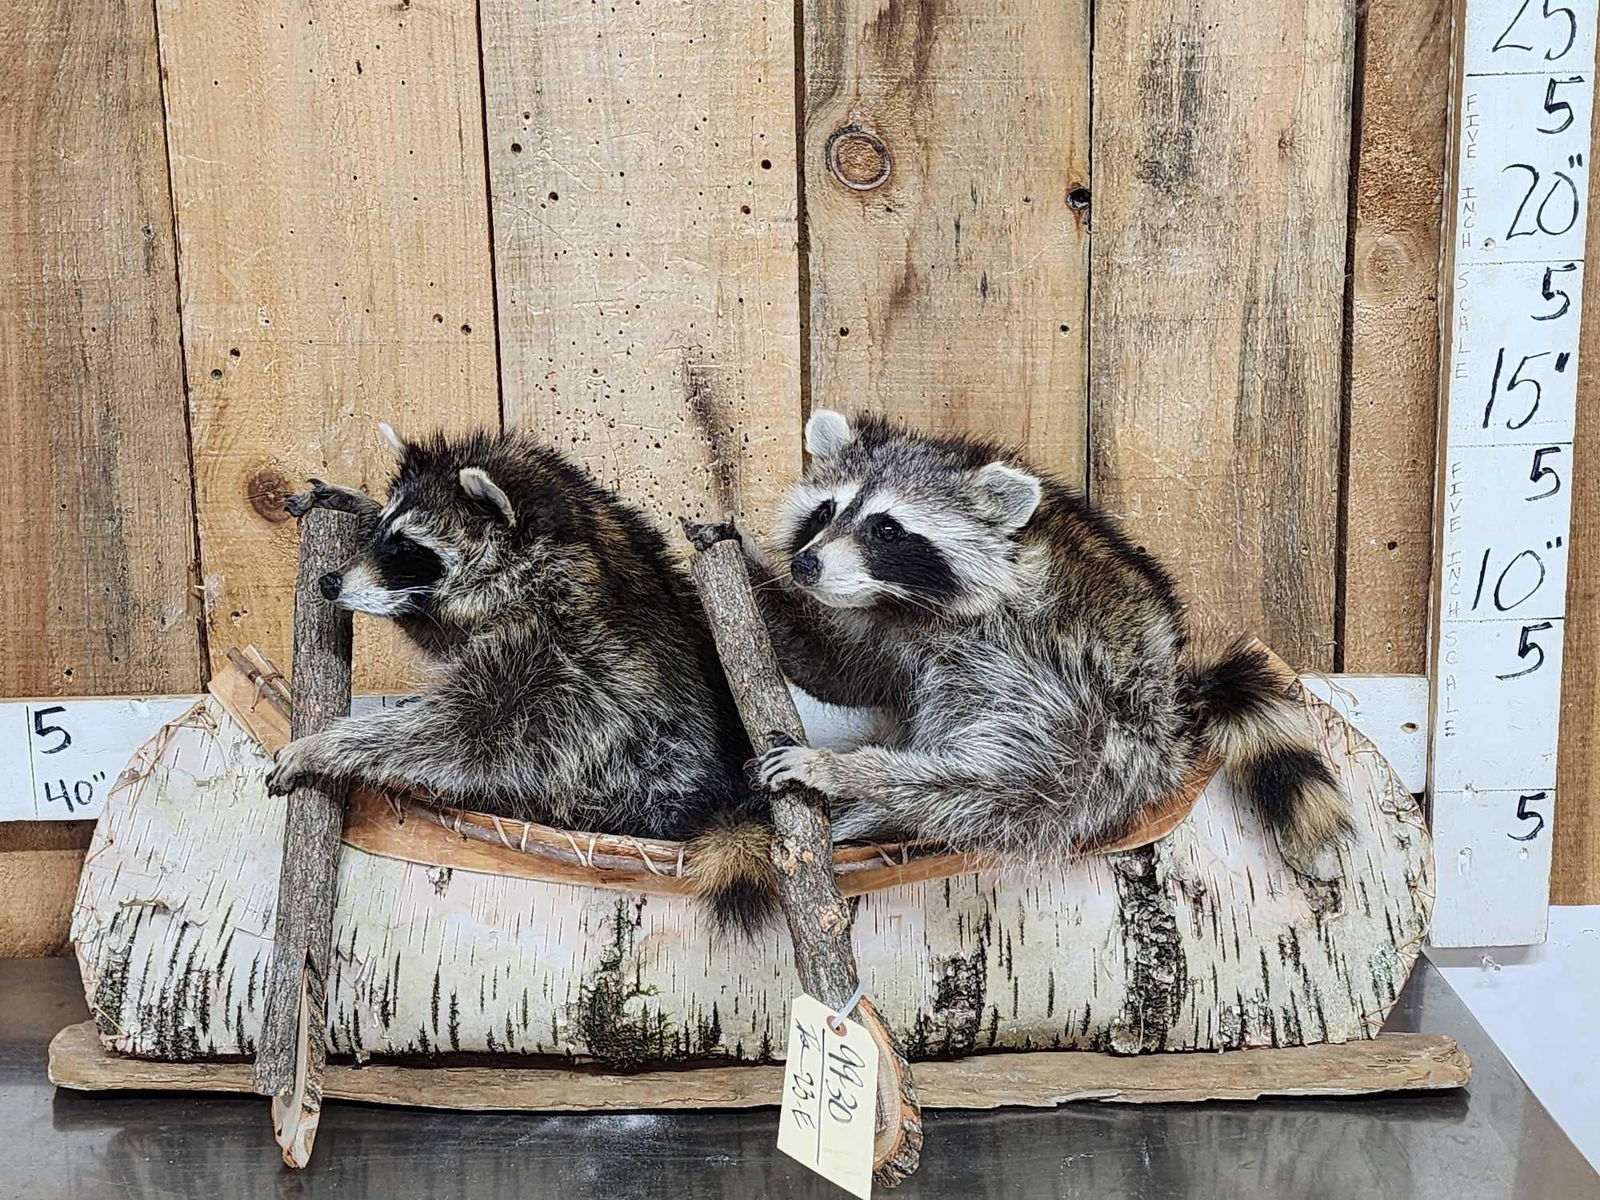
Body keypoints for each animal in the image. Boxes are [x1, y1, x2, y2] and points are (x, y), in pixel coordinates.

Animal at [267, 424, 776, 930]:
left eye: (408, 547)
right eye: (381, 535)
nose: (329, 583)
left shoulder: (558, 666)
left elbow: (467, 735)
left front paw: (330, 746)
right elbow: (440, 638)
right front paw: (358, 504)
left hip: (637, 788)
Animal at [743, 410, 1352, 861]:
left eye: (887, 529)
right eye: (825, 510)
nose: (805, 565)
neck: (907, 606)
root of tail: (1177, 693)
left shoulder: (1040, 661)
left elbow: (992, 780)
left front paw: (844, 771)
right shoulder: (895, 635)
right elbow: (841, 673)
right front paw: (749, 573)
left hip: (1119, 734)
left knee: (995, 792)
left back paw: (869, 802)